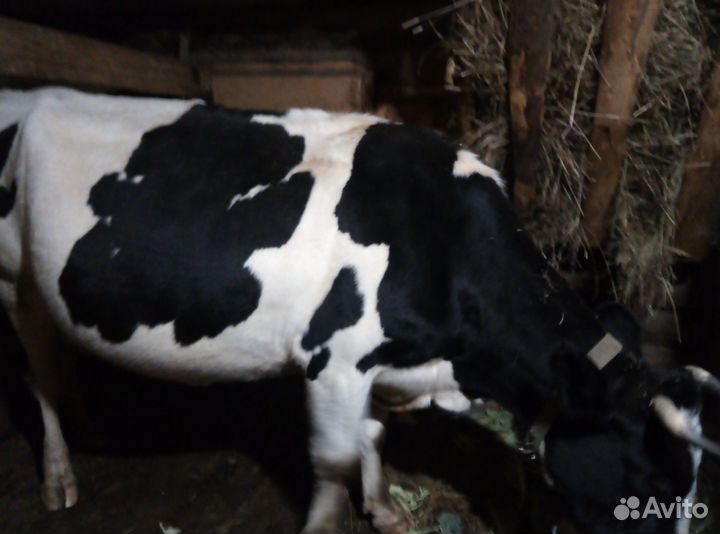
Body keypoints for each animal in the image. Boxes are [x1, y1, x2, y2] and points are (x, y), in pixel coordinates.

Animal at [0, 87, 718, 534]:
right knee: (37, 373)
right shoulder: (334, 360)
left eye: (692, 489)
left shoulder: (379, 363)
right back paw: (59, 475)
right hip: (15, 281)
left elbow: (371, 438)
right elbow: (336, 460)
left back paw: (89, 429)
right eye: (653, 483)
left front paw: (383, 508)